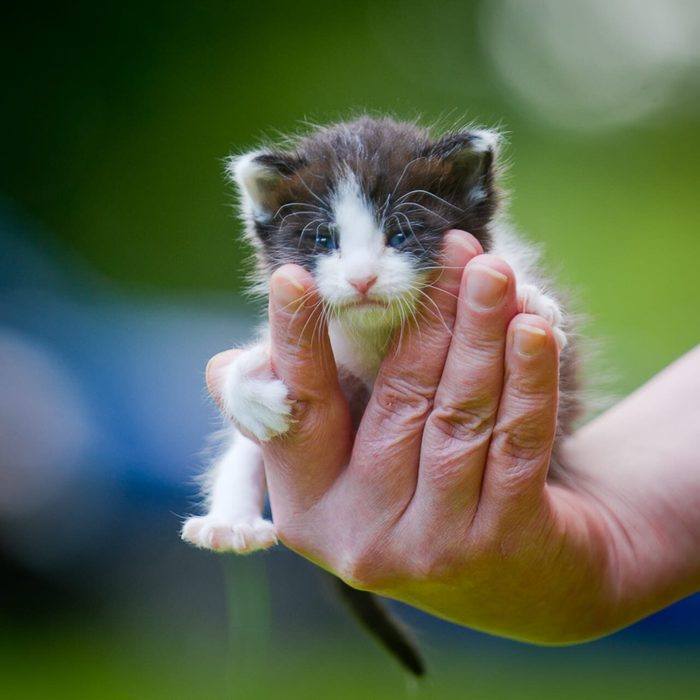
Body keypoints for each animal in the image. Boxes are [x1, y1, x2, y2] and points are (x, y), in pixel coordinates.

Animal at [180, 116, 580, 680]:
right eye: (324, 238)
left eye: (401, 234)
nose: (362, 279)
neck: (375, 340)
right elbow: (242, 369)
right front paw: (253, 397)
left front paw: (527, 298)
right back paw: (229, 525)